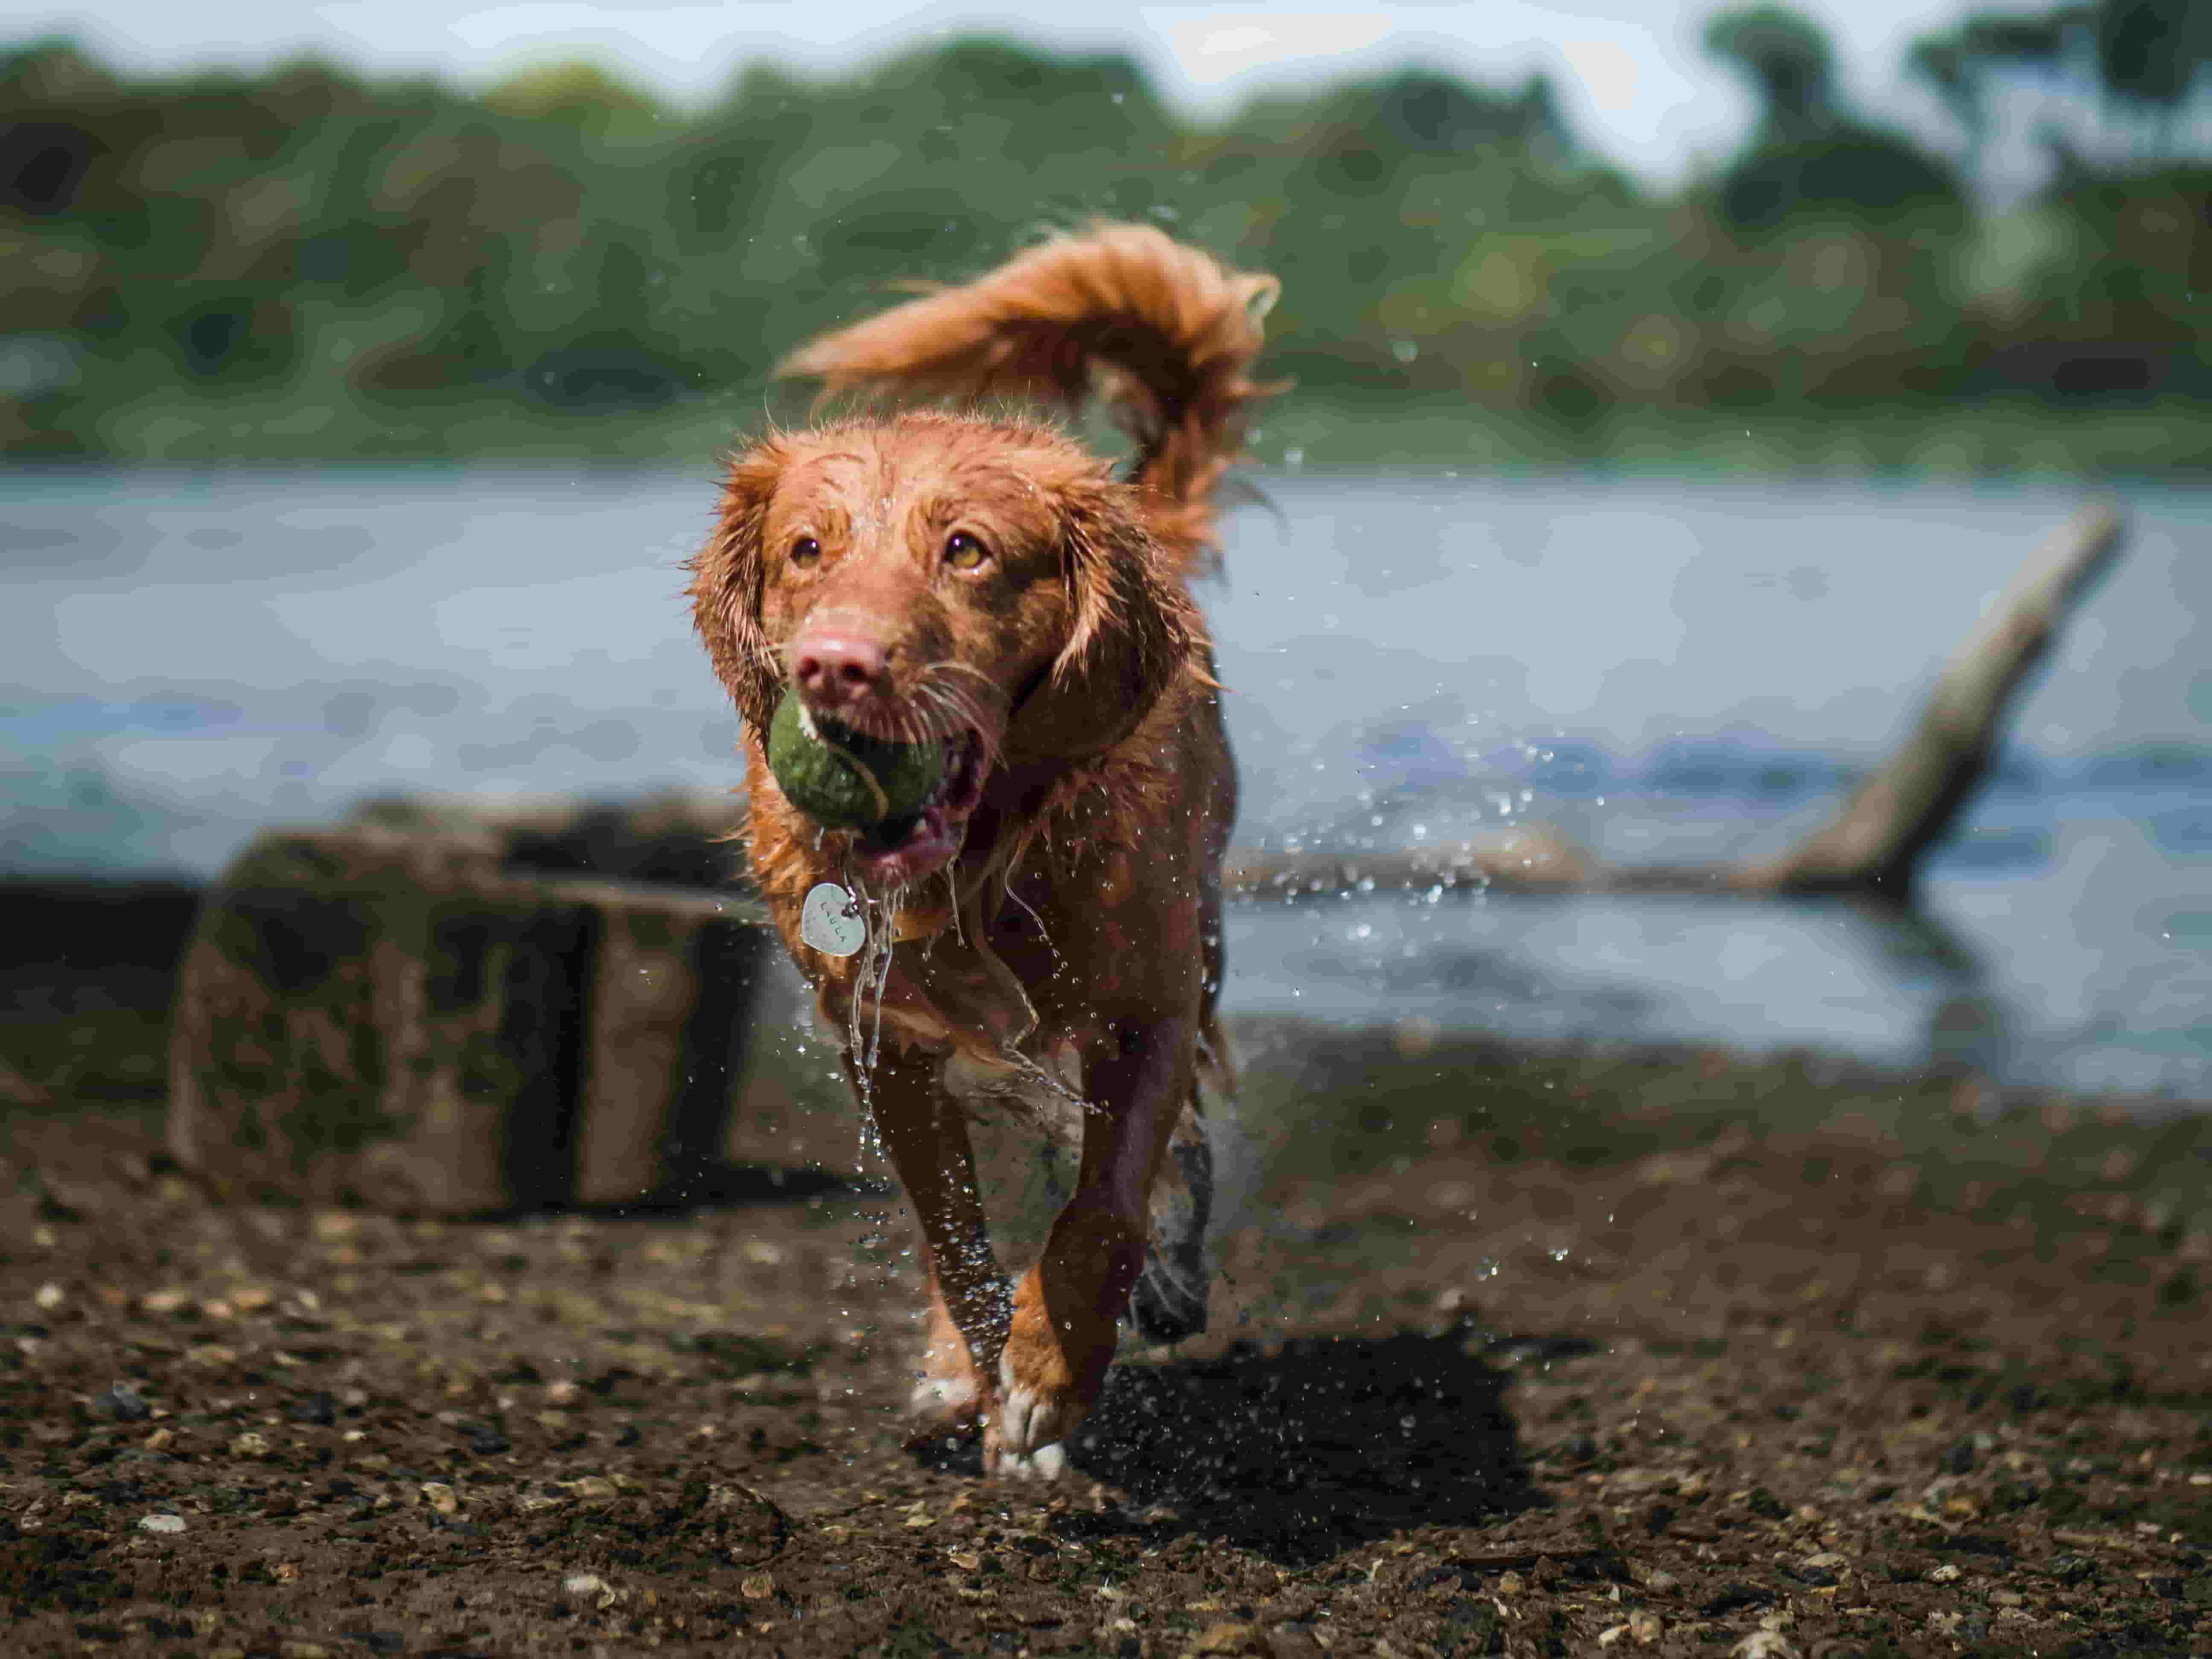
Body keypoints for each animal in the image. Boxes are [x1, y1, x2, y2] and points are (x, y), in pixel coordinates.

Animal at [690, 224, 1283, 1477]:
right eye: (806, 549)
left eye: (965, 550)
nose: (834, 666)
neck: (975, 871)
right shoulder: (889, 1046)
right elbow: (951, 1232)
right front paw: (980, 1367)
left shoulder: (1150, 1009)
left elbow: (1105, 1207)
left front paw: (1052, 1376)